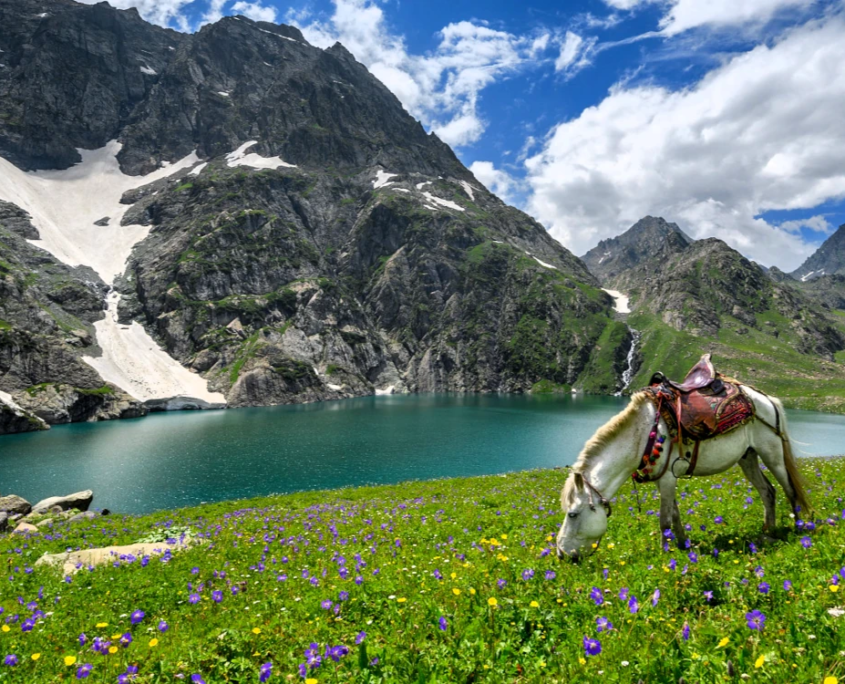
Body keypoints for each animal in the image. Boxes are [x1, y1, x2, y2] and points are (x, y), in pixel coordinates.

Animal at [556, 384, 808, 560]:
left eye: (573, 514)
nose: (561, 554)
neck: (644, 434)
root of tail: (767, 399)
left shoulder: (668, 478)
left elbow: (664, 520)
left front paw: (664, 552)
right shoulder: (664, 480)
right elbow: (675, 515)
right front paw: (683, 544)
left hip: (772, 453)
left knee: (789, 489)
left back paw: (799, 529)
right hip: (748, 457)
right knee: (768, 491)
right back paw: (768, 531)